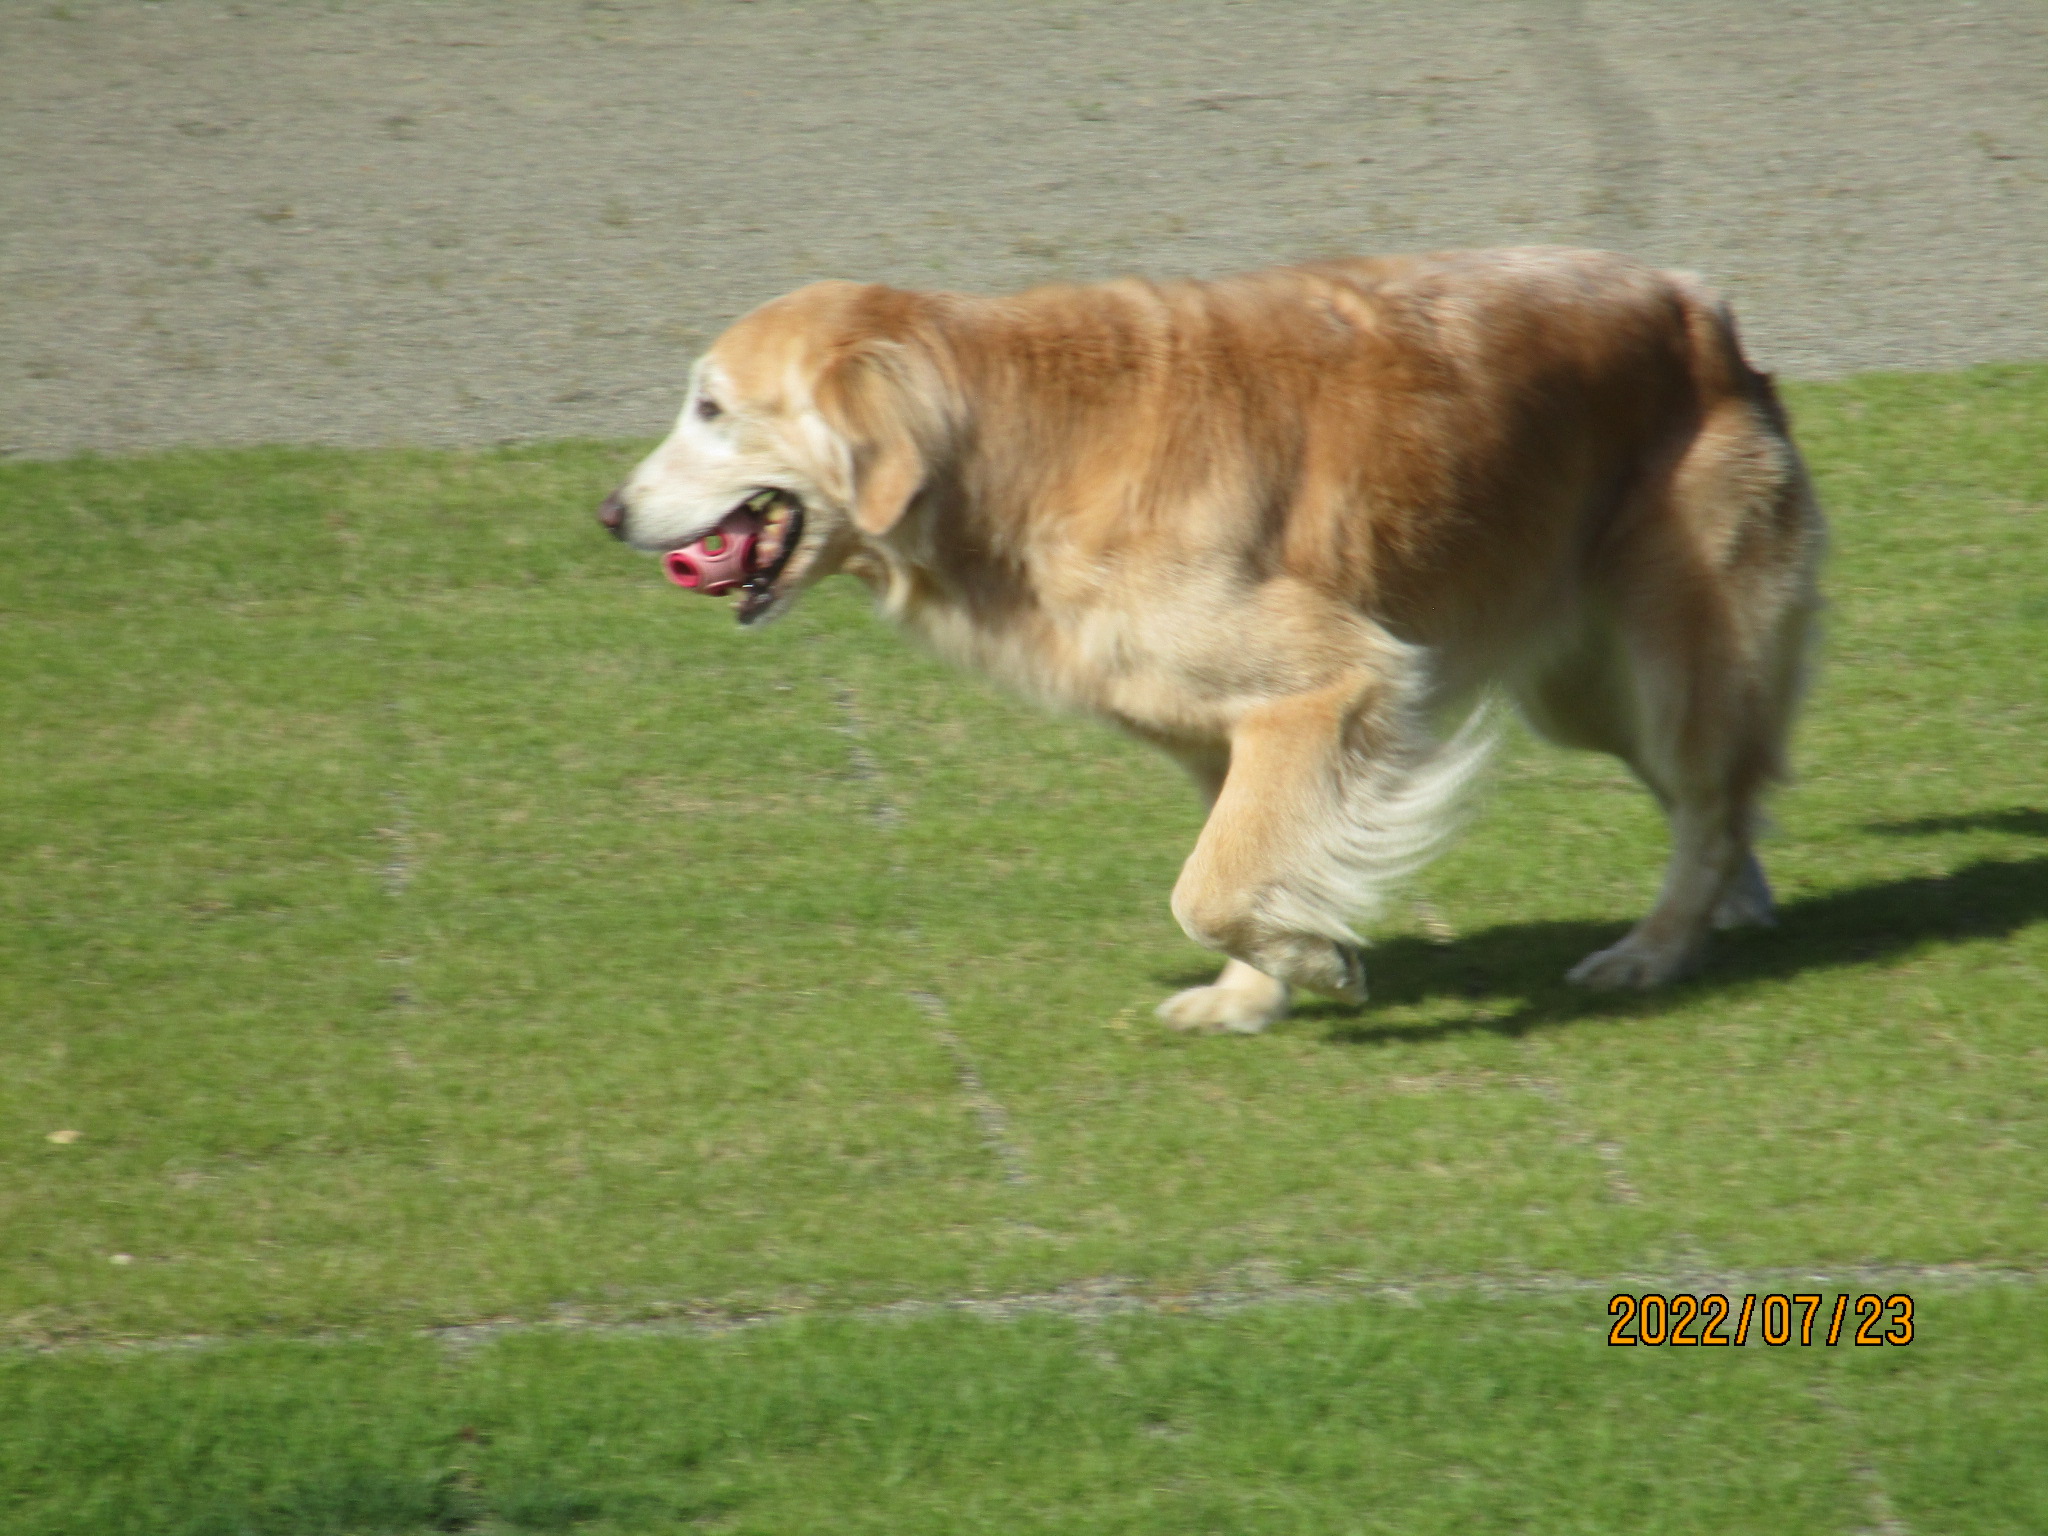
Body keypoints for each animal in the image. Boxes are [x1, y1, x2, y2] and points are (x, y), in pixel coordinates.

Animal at [598, 249, 1826, 1036]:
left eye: (711, 408)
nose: (608, 514)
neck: (1014, 446)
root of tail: (1701, 310)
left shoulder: (1336, 684)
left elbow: (1207, 886)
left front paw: (1320, 965)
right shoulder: (1220, 734)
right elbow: (1237, 866)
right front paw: (1249, 996)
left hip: (1665, 661)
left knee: (1710, 799)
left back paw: (1657, 948)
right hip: (1585, 690)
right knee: (1724, 796)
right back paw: (1729, 910)